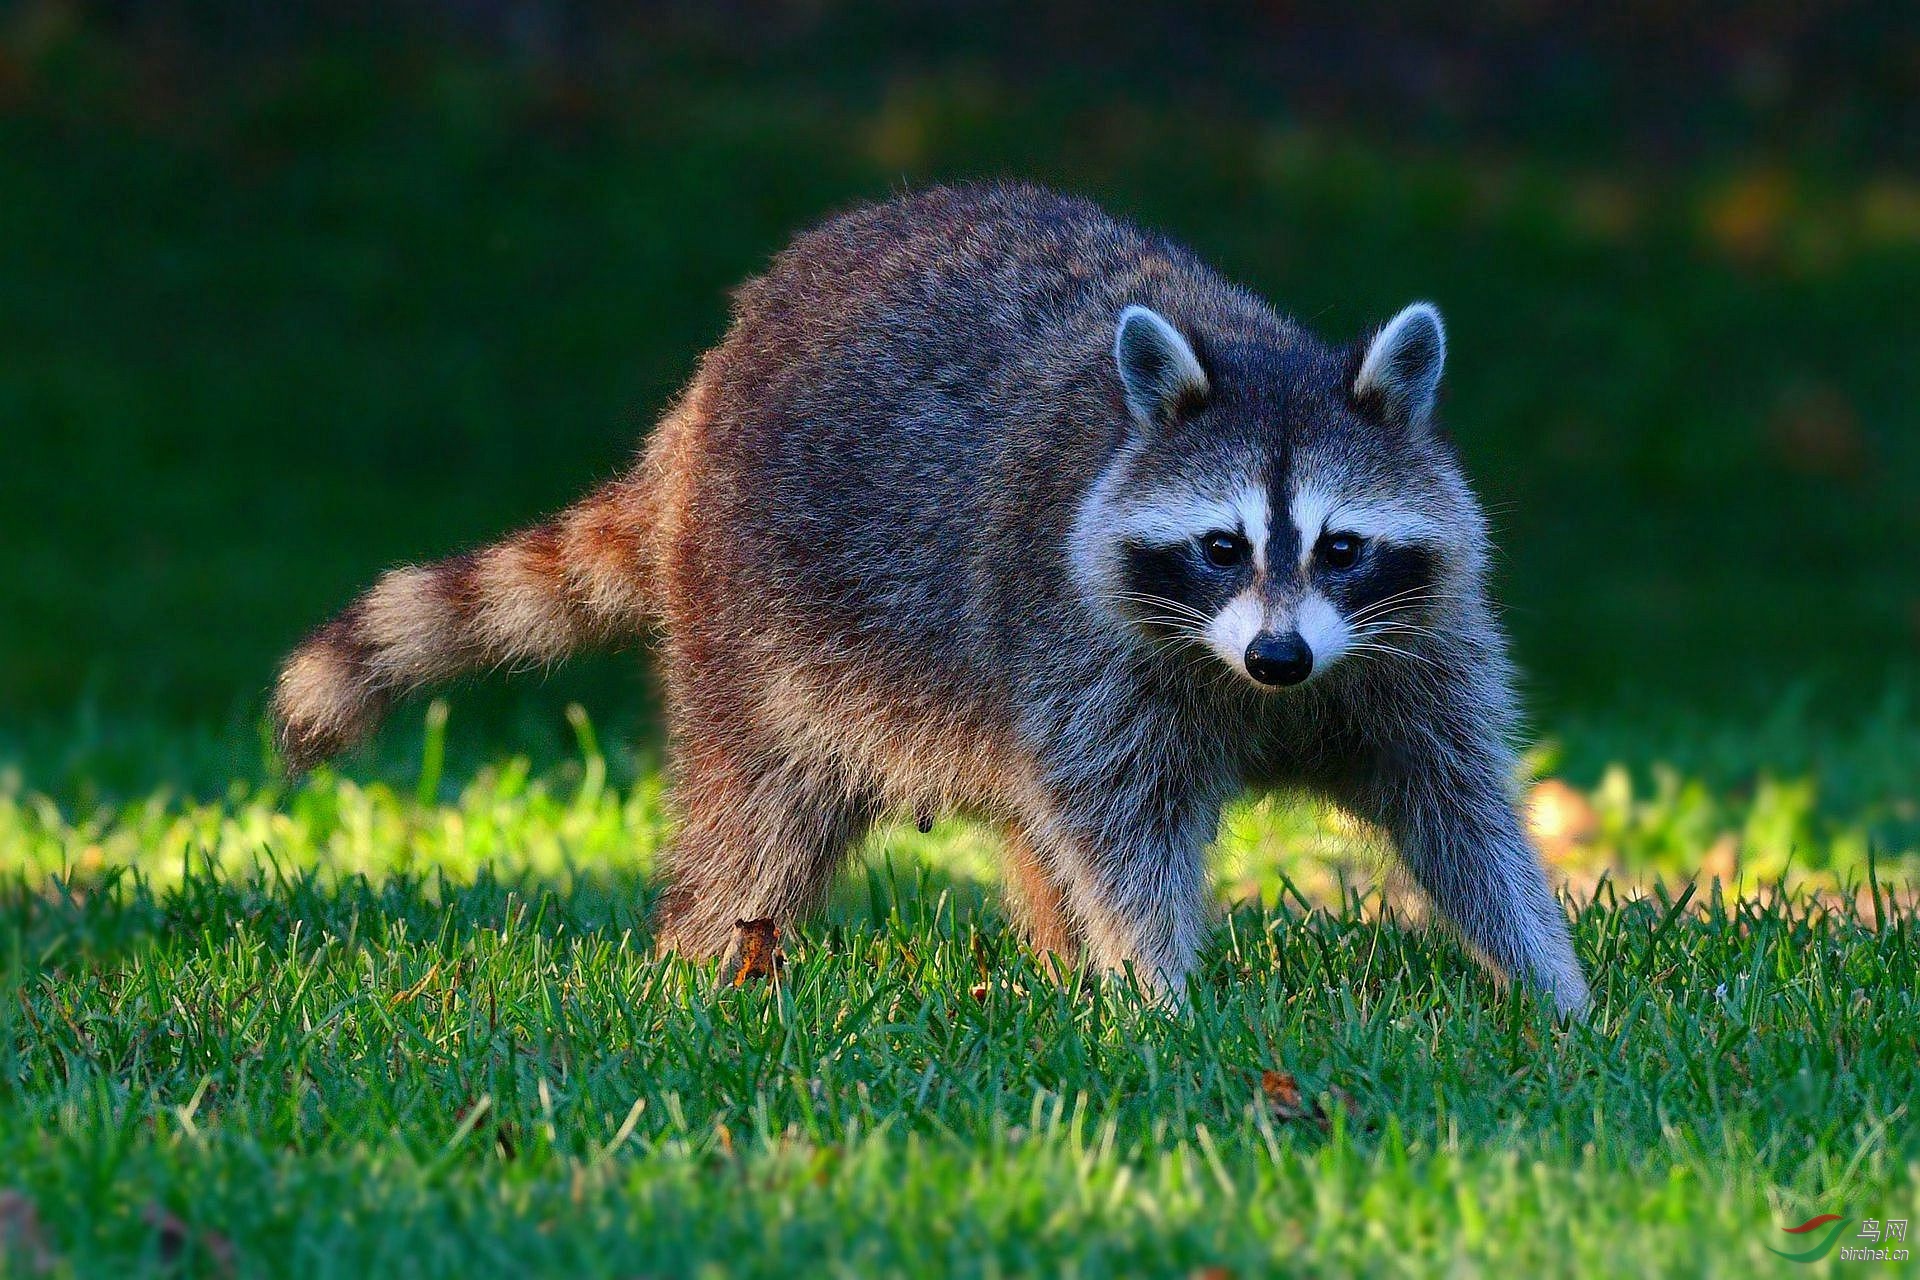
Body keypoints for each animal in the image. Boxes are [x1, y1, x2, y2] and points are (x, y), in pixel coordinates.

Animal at [274, 185, 1589, 1013]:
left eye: (1342, 545)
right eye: (1220, 546)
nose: (1277, 658)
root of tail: (699, 400)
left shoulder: (1414, 645)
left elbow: (1458, 805)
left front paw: (1551, 983)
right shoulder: (1078, 641)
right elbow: (1123, 829)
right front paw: (1159, 997)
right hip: (758, 616)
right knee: (753, 819)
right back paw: (706, 967)